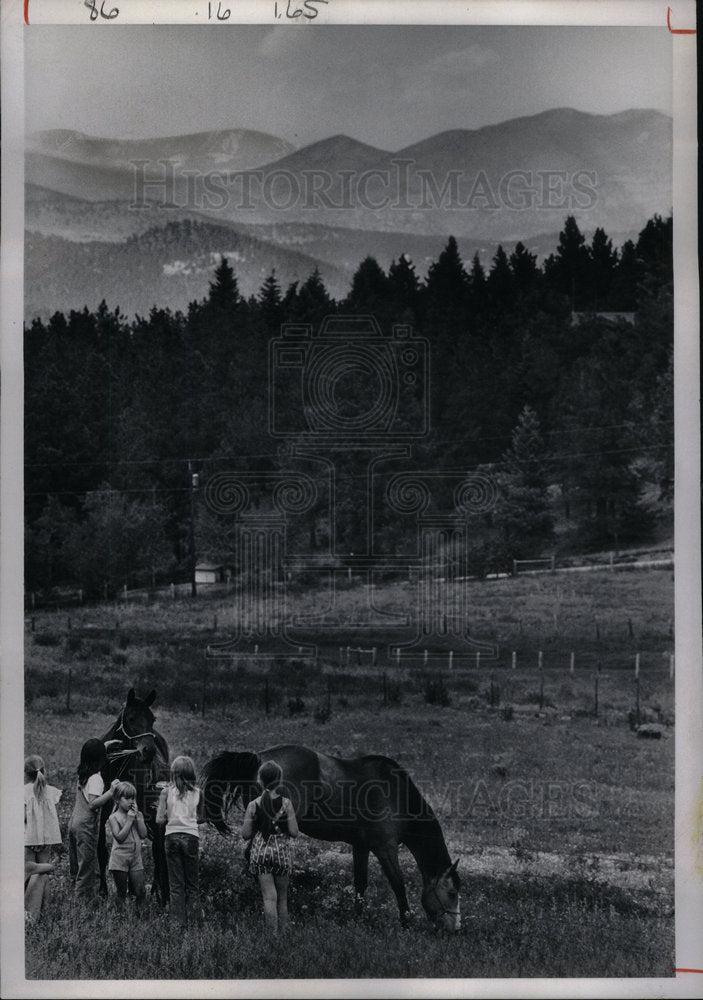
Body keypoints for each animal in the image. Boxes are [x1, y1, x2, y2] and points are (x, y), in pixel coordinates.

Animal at [97, 692, 170, 904]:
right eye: (130, 718)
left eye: (152, 719)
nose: (149, 751)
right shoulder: (104, 806)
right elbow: (101, 847)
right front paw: (103, 891)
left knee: (157, 849)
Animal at [199, 744, 462, 928]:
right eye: (452, 893)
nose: (455, 929)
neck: (397, 795)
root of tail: (259, 759)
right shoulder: (385, 848)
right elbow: (398, 884)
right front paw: (406, 922)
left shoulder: (361, 847)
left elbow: (360, 883)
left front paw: (359, 917)